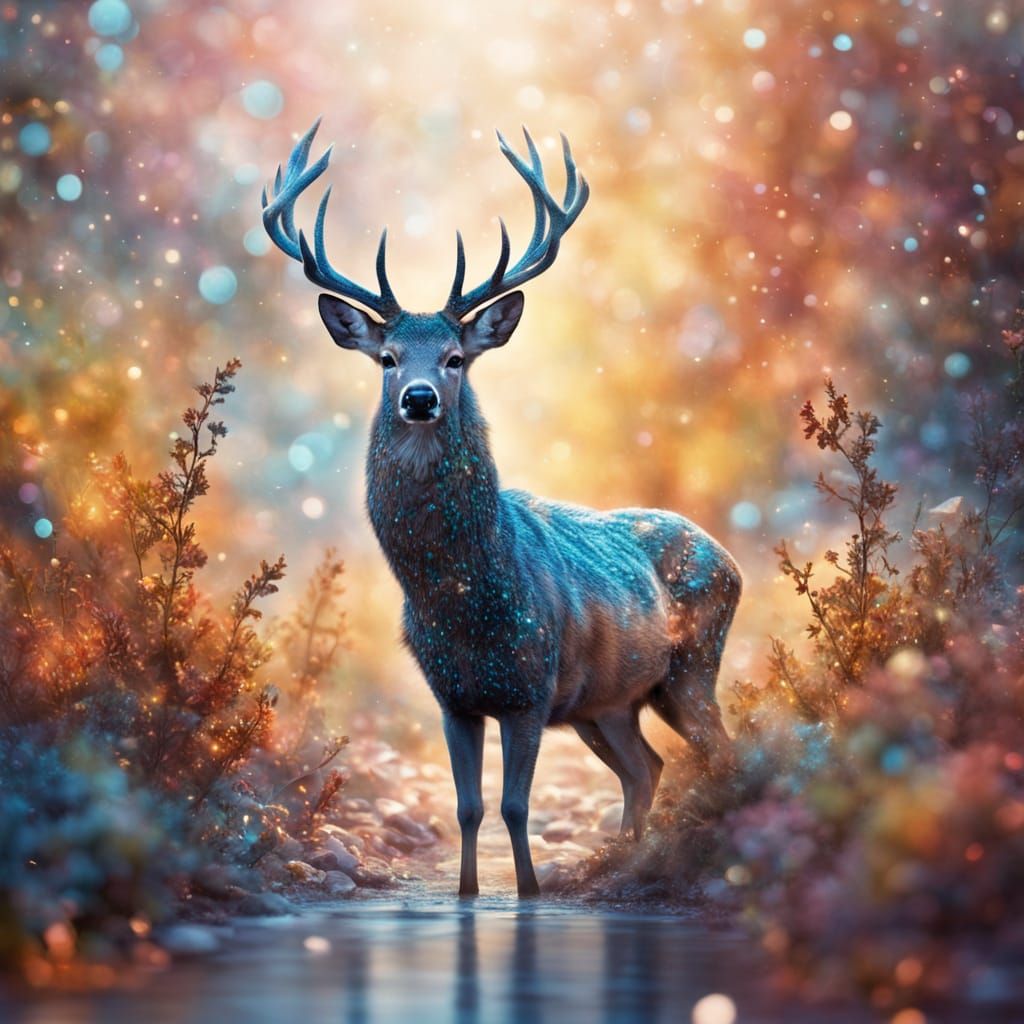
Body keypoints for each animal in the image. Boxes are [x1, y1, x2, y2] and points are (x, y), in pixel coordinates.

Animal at [262, 120, 742, 898]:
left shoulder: (530, 685)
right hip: (607, 705)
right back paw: (623, 859)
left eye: (456, 357)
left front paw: (529, 892)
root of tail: (729, 559)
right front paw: (468, 893)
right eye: (388, 357)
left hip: (692, 667)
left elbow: (515, 806)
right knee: (647, 768)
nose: (418, 398)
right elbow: (468, 806)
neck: (462, 602)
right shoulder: (453, 695)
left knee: (716, 754)